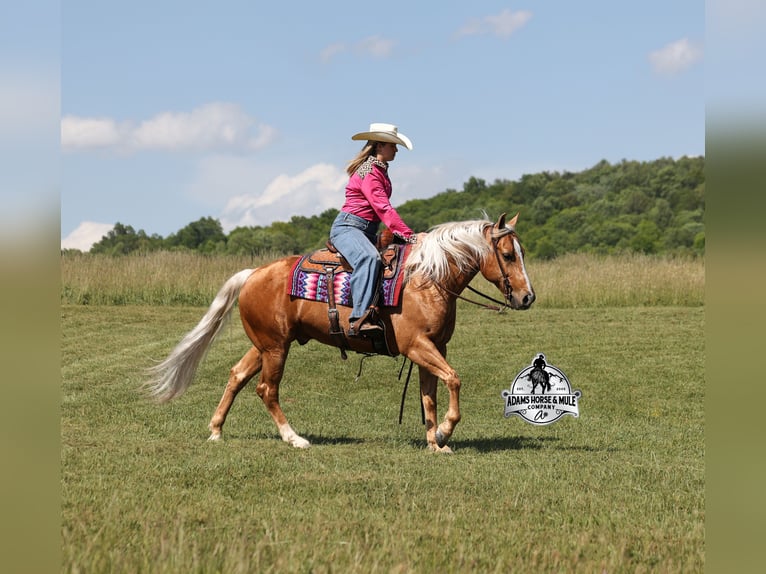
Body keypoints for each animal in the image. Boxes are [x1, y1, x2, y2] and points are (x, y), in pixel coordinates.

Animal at [145, 213, 535, 453]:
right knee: (266, 389)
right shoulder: (417, 346)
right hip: (276, 349)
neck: (427, 278)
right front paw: (443, 432)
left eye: (522, 251)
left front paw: (435, 441)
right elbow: (453, 381)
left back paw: (216, 430)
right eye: (507, 254)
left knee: (237, 376)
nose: (527, 297)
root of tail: (253, 273)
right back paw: (294, 438)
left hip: (267, 345)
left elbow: (430, 396)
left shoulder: (434, 347)